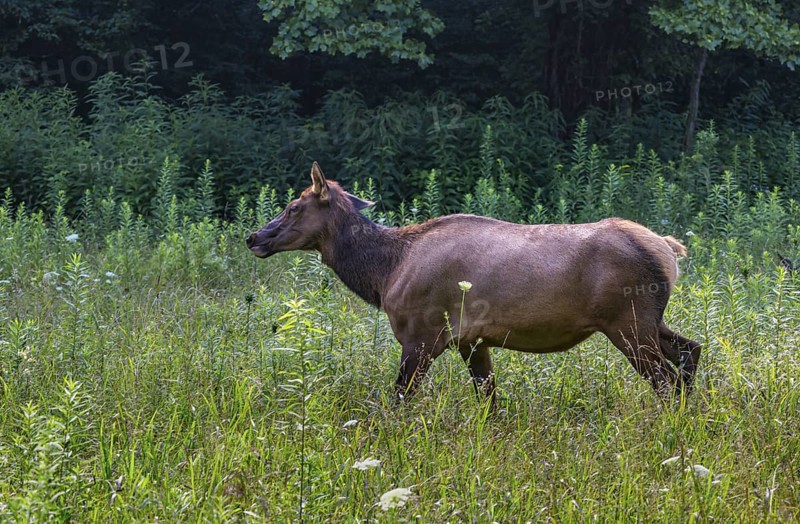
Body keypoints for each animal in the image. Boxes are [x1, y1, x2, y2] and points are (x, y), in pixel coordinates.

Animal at [247, 162, 701, 407]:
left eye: (293, 206)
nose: (254, 237)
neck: (385, 273)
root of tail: (668, 249)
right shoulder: (473, 339)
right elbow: (490, 401)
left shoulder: (422, 334)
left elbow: (398, 399)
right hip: (648, 320)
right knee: (690, 350)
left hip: (627, 321)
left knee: (666, 379)